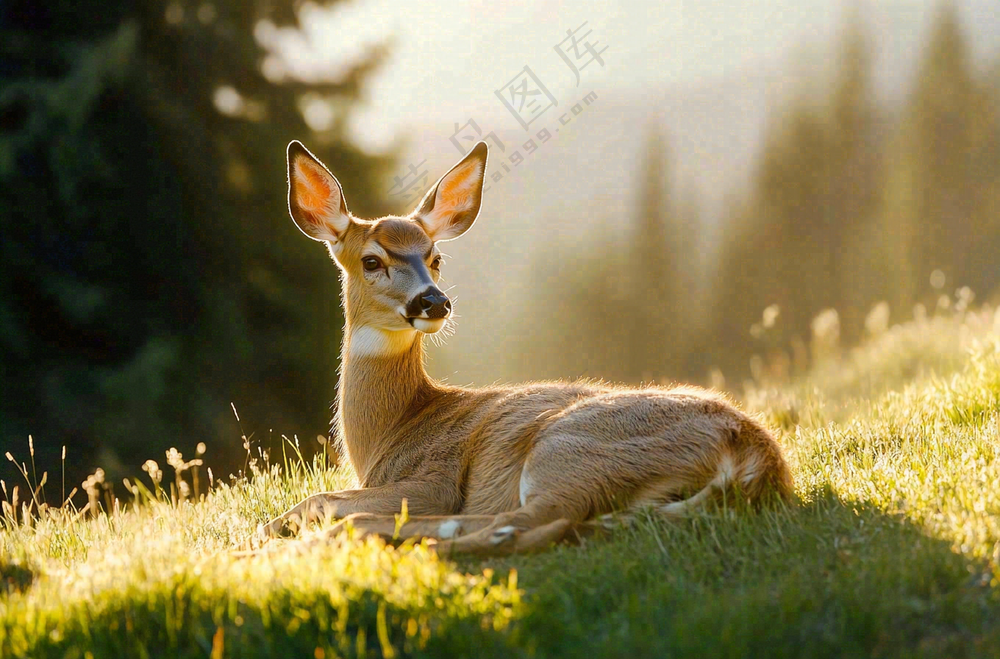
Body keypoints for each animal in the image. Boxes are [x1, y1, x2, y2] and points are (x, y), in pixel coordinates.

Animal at [255, 139, 794, 556]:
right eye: (371, 260)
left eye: (436, 256)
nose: (434, 301)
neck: (392, 430)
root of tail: (756, 455)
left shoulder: (434, 478)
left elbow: (322, 498)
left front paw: (275, 533)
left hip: (568, 449)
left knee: (529, 523)